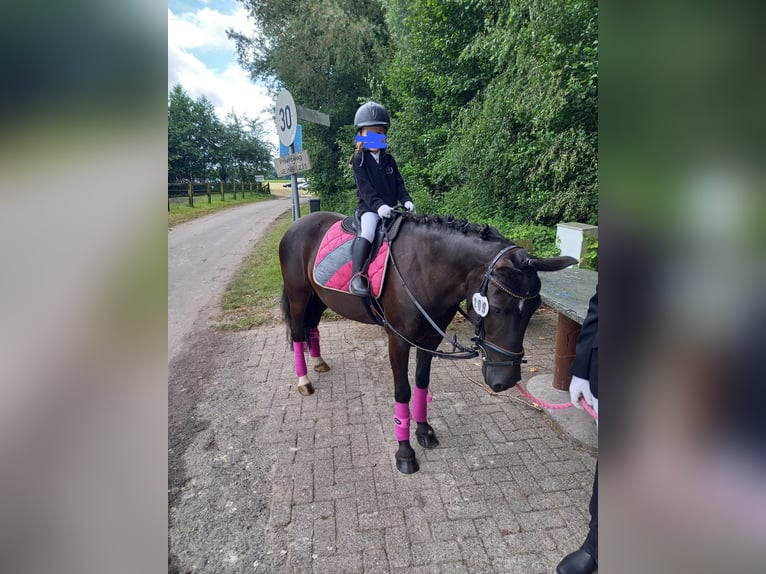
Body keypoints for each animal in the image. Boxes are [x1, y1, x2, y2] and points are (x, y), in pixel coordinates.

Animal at [280, 210, 576, 472]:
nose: (507, 380)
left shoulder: (430, 339)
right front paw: (405, 453)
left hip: (319, 297)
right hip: (299, 295)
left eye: (533, 308)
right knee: (298, 333)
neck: (423, 269)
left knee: (312, 325)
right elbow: (403, 391)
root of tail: (297, 225)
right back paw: (304, 381)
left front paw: (424, 431)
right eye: (497, 308)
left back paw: (319, 362)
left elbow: (422, 382)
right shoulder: (397, 341)